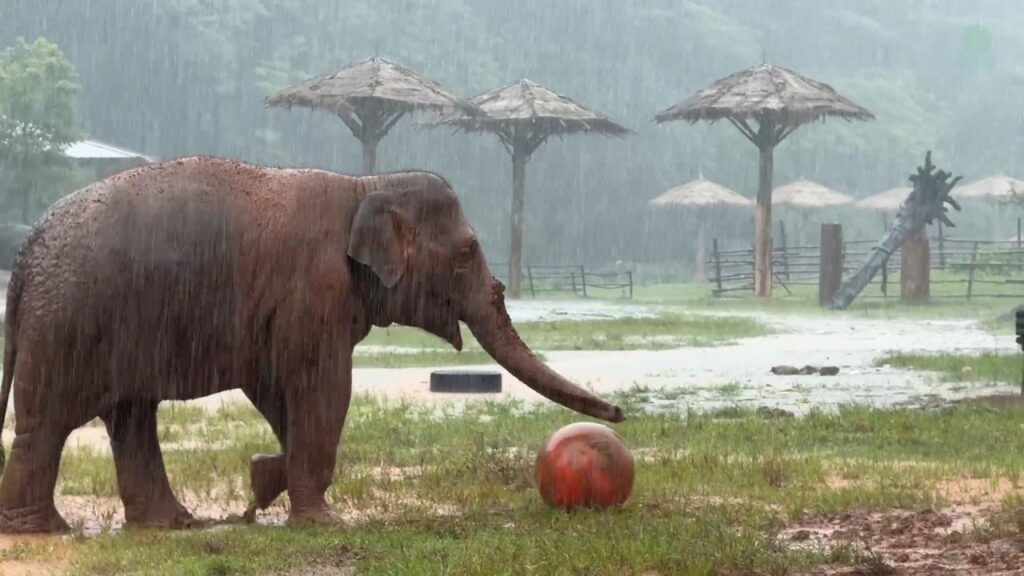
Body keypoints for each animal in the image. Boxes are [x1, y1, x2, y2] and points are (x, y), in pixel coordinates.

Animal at [0, 156, 624, 533]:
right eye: (468, 251)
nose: (619, 413)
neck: (365, 186)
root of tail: (27, 249)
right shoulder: (314, 291)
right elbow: (322, 388)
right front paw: (322, 519)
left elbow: (278, 392)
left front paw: (265, 481)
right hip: (68, 320)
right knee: (49, 422)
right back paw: (43, 529)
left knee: (130, 416)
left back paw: (172, 523)